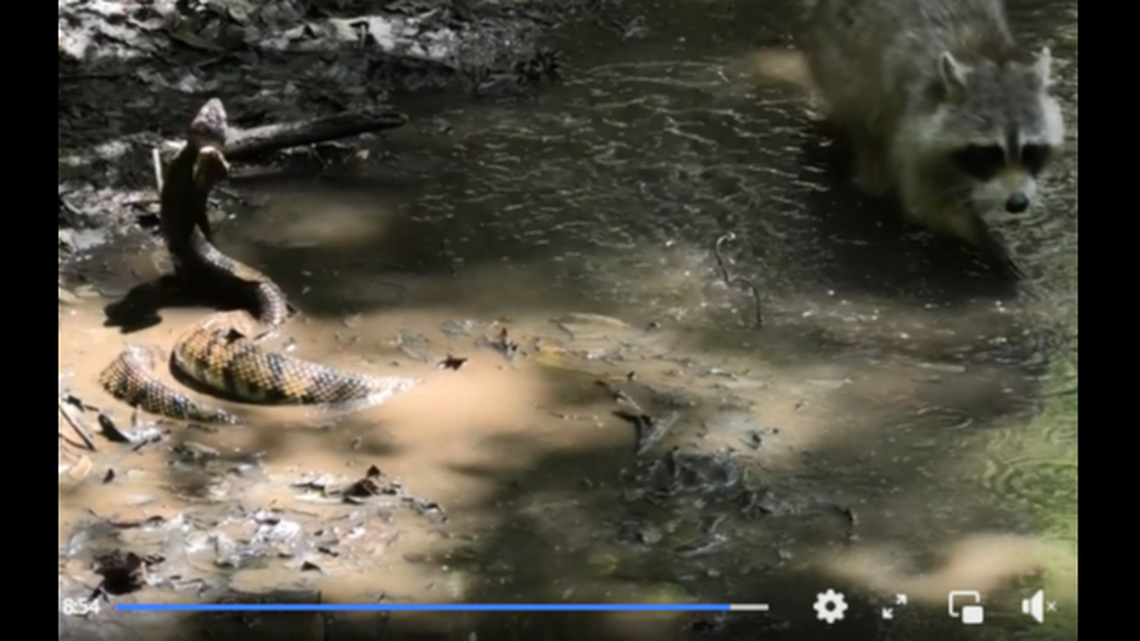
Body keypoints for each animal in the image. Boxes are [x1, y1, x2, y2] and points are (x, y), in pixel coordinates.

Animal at [800, 0, 1065, 248]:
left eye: (1031, 150)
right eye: (988, 153)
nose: (1017, 203)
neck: (984, 54)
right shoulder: (911, 128)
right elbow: (928, 202)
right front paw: (984, 240)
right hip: (840, 60)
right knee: (865, 125)